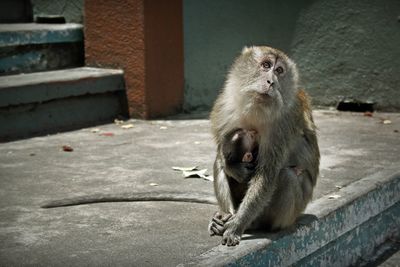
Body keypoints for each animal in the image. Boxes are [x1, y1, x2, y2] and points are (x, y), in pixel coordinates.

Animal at [209, 46, 318, 247]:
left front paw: (237, 225)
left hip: (289, 215)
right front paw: (234, 168)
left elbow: (267, 175)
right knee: (218, 162)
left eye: (279, 71)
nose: (271, 82)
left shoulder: (283, 124)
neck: (256, 109)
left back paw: (254, 224)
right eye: (266, 65)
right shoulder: (224, 108)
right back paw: (224, 216)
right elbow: (222, 154)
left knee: (288, 176)